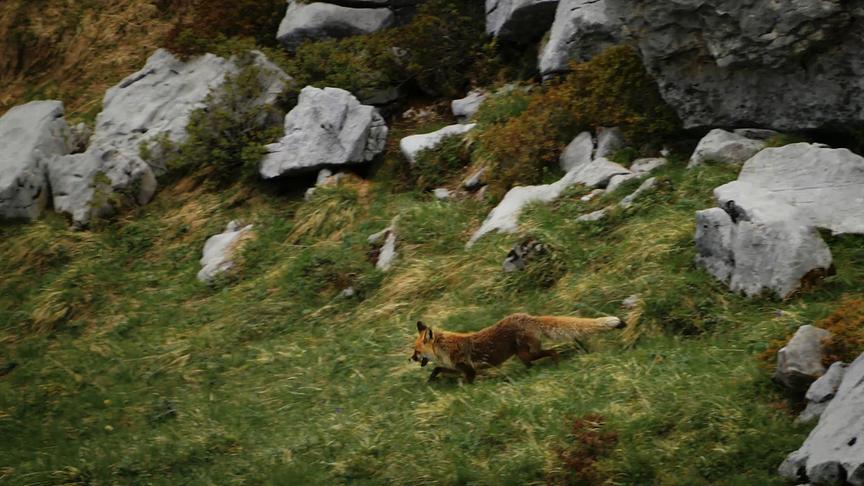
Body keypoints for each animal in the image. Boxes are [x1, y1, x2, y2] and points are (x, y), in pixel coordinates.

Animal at [410, 313, 625, 383]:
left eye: (416, 351)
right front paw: (430, 380)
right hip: (524, 355)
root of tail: (528, 317)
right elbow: (438, 369)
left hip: (528, 353)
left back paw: (558, 364)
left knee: (553, 351)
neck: (444, 349)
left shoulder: (468, 370)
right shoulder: (455, 368)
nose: (410, 359)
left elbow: (468, 382)